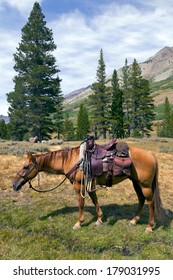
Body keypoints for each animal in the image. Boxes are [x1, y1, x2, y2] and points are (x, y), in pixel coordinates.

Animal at [12, 144, 165, 232]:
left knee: (150, 203)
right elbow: (94, 199)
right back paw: (133, 221)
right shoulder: (88, 183)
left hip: (145, 185)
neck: (72, 160)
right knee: (141, 200)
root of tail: (152, 155)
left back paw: (149, 227)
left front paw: (79, 223)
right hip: (136, 182)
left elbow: (81, 203)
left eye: (26, 167)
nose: (14, 184)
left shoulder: (78, 185)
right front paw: (99, 219)